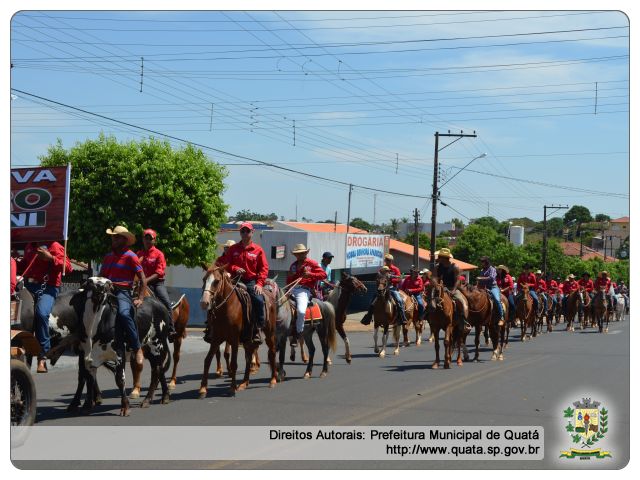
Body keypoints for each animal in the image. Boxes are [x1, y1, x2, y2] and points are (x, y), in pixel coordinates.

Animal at [198, 264, 278, 396]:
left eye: (216, 281)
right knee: (249, 357)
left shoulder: (234, 339)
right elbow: (207, 360)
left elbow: (234, 363)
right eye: (204, 280)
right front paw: (203, 388)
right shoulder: (216, 338)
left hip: (269, 333)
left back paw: (273, 380)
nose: (204, 303)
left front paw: (232, 387)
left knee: (271, 352)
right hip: (248, 339)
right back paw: (244, 382)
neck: (226, 308)